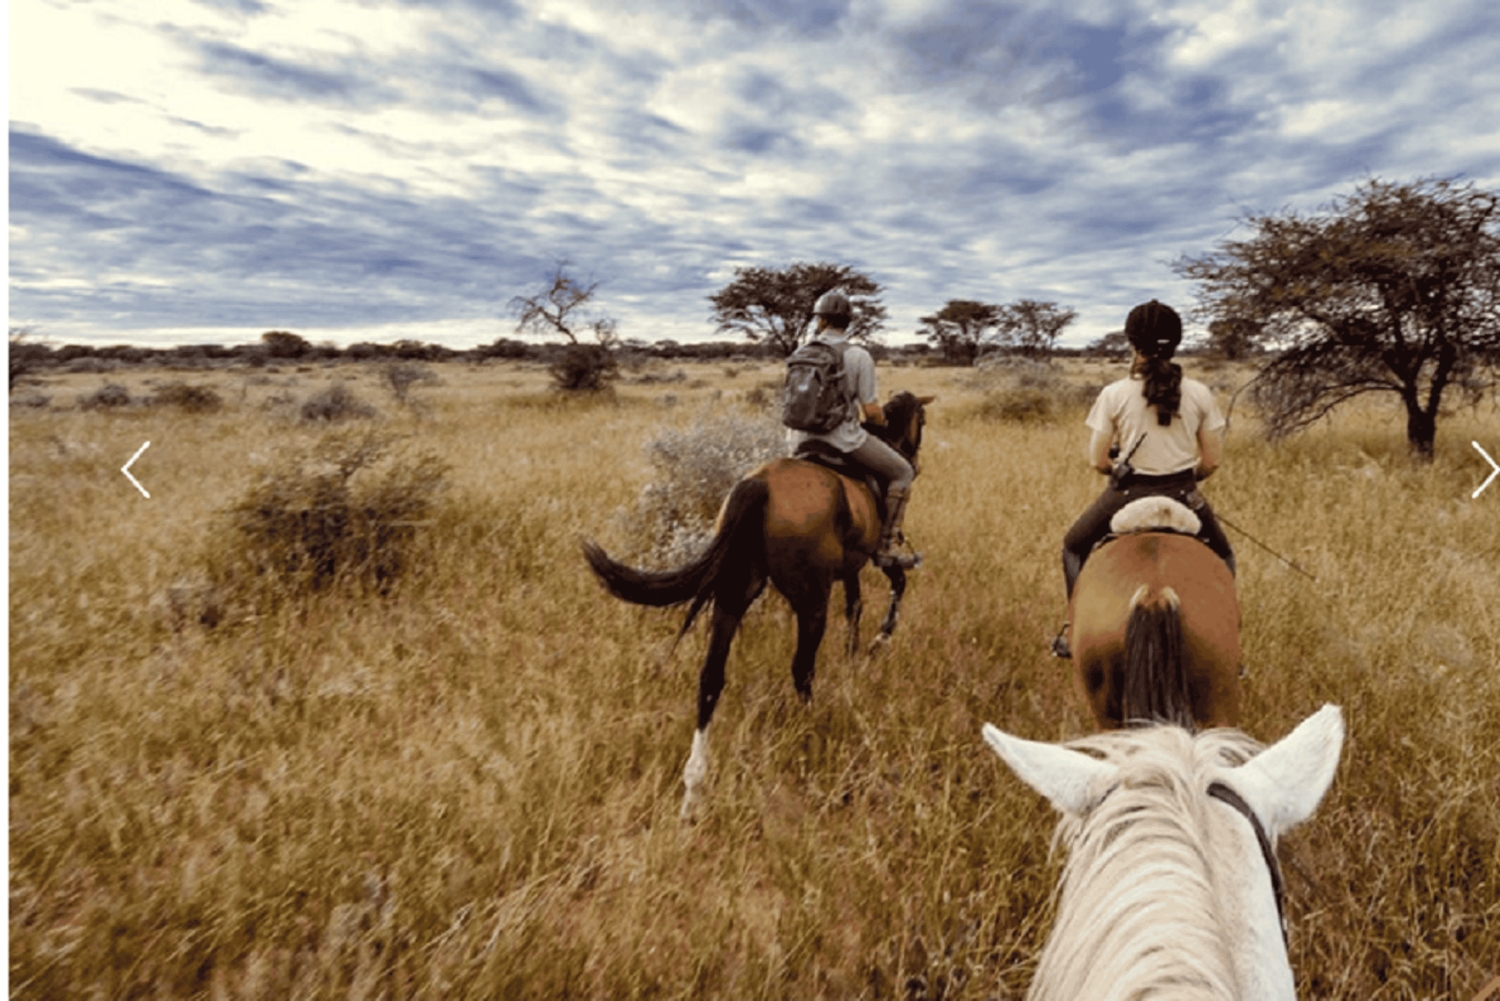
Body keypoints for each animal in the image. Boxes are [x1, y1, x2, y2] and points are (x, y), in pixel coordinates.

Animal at [583, 391, 932, 819]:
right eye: (922, 420)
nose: (914, 463)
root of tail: (759, 484)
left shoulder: (850, 568)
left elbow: (855, 608)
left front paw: (854, 657)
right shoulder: (873, 558)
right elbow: (894, 586)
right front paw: (877, 643)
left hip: (733, 594)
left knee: (711, 678)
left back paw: (693, 789)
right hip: (810, 600)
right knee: (802, 670)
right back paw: (812, 729)